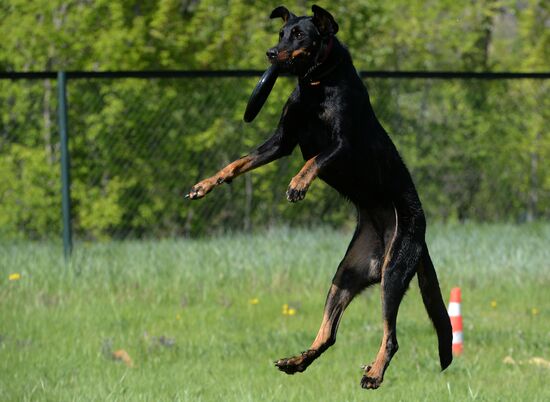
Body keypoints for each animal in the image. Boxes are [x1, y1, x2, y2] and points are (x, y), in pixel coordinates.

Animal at [185, 4, 452, 392]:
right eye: (282, 33)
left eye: (300, 36)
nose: (271, 53)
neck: (316, 83)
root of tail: (419, 236)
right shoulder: (281, 141)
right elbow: (237, 163)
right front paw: (205, 185)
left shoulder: (341, 145)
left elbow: (314, 160)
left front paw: (298, 184)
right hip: (347, 274)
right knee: (329, 334)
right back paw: (296, 362)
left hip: (393, 271)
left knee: (391, 337)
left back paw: (374, 373)